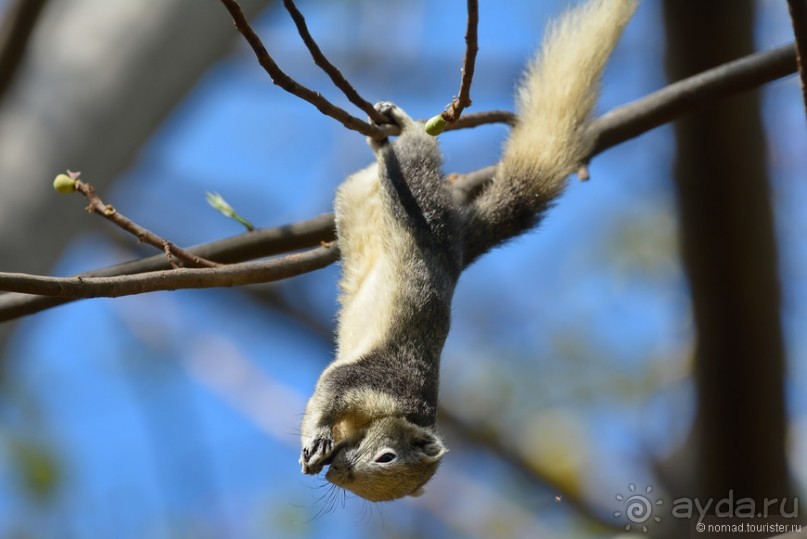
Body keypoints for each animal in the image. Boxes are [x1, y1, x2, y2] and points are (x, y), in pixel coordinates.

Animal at [298, 0, 636, 502]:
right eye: (387, 456)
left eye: (377, 489)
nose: (339, 471)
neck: (396, 412)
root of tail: (457, 246)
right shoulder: (373, 378)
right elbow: (330, 387)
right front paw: (316, 436)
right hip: (418, 195)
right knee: (415, 152)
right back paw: (403, 124)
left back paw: (380, 137)